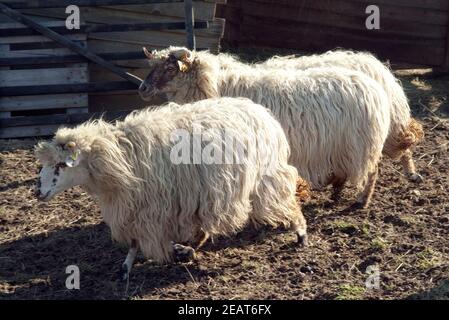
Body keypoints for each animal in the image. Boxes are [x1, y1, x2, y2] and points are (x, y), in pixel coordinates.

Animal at [35, 97, 308, 280]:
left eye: (61, 164)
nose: (38, 192)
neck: (118, 157)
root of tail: (261, 111)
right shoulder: (135, 206)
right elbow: (133, 243)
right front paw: (126, 268)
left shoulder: (151, 206)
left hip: (267, 176)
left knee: (287, 200)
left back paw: (300, 231)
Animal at [138, 47, 390, 208]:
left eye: (171, 69)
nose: (142, 88)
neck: (216, 85)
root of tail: (374, 87)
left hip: (361, 144)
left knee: (372, 171)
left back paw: (361, 201)